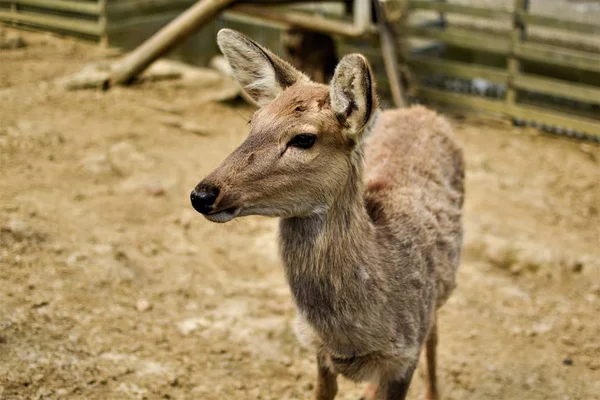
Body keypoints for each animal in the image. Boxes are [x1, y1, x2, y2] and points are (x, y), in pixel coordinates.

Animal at [190, 28, 466, 400]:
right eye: (253, 122)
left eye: (304, 138)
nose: (202, 194)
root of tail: (422, 110)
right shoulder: (318, 350)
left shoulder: (404, 355)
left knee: (435, 337)